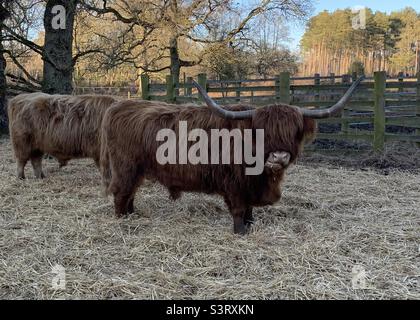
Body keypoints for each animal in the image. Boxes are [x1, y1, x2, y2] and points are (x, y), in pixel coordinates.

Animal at [101, 76, 364, 234]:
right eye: (263, 131)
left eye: (294, 132)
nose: (279, 158)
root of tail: (119, 106)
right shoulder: (234, 184)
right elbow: (239, 210)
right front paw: (241, 232)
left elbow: (249, 210)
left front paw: (250, 224)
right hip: (125, 167)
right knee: (121, 193)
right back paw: (122, 220)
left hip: (136, 170)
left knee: (130, 192)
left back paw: (132, 215)